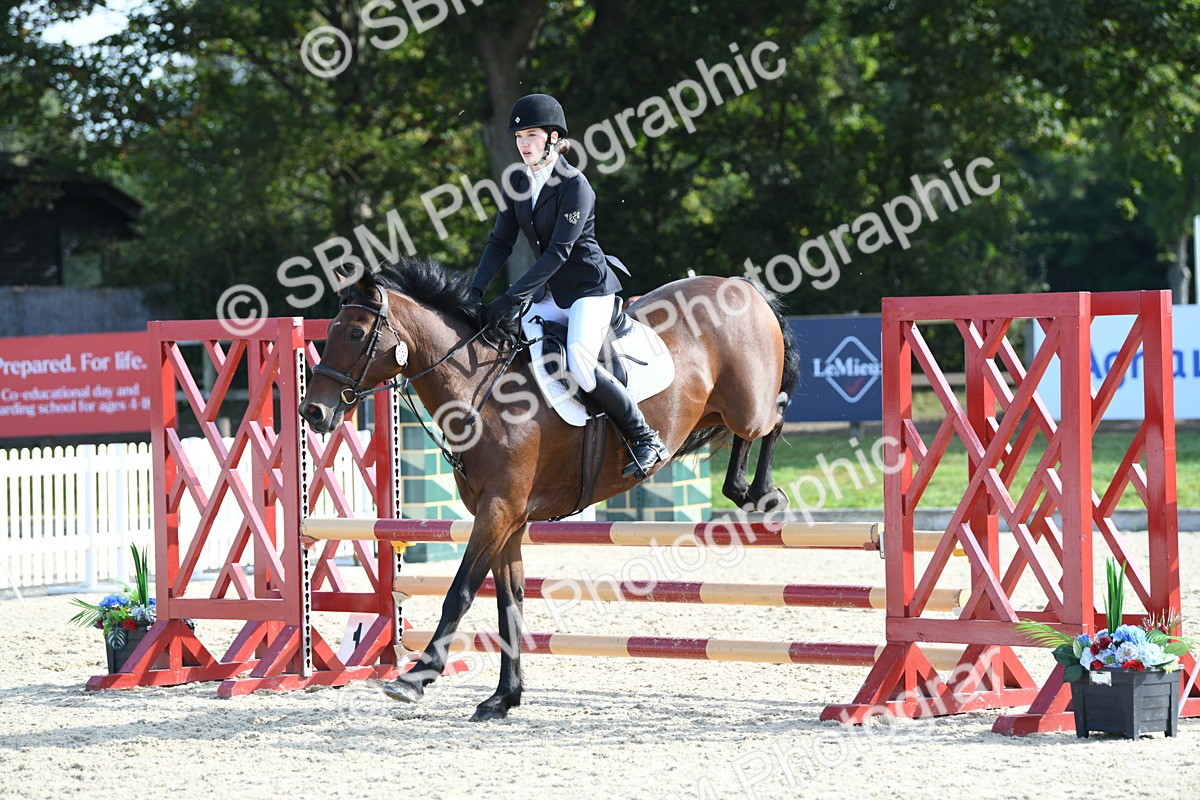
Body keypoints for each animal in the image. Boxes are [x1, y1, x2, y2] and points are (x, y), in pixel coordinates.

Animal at [299, 257, 800, 720]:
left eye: (356, 333)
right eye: (334, 330)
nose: (312, 413)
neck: (481, 390)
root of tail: (742, 286)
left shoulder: (498, 511)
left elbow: (460, 592)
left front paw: (416, 678)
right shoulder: (509, 519)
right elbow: (509, 601)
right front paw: (503, 698)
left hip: (745, 406)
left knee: (775, 414)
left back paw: (762, 494)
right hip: (714, 412)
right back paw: (747, 491)